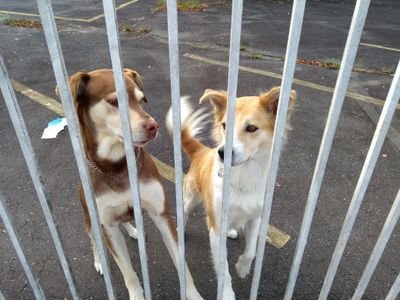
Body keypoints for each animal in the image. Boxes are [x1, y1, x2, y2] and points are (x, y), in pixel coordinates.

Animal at [63, 68, 203, 300]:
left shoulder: (161, 215)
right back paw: (99, 261)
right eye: (114, 101)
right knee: (93, 241)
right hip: (90, 220)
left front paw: (192, 294)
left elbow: (183, 266)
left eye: (141, 100)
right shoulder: (108, 227)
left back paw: (133, 230)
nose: (153, 126)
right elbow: (128, 273)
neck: (117, 166)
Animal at [166, 86, 296, 298]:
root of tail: (202, 152)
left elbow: (251, 251)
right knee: (184, 213)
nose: (222, 153)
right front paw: (227, 293)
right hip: (190, 198)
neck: (244, 174)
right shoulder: (215, 229)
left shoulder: (256, 218)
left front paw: (243, 268)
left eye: (251, 128)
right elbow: (223, 268)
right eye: (225, 125)